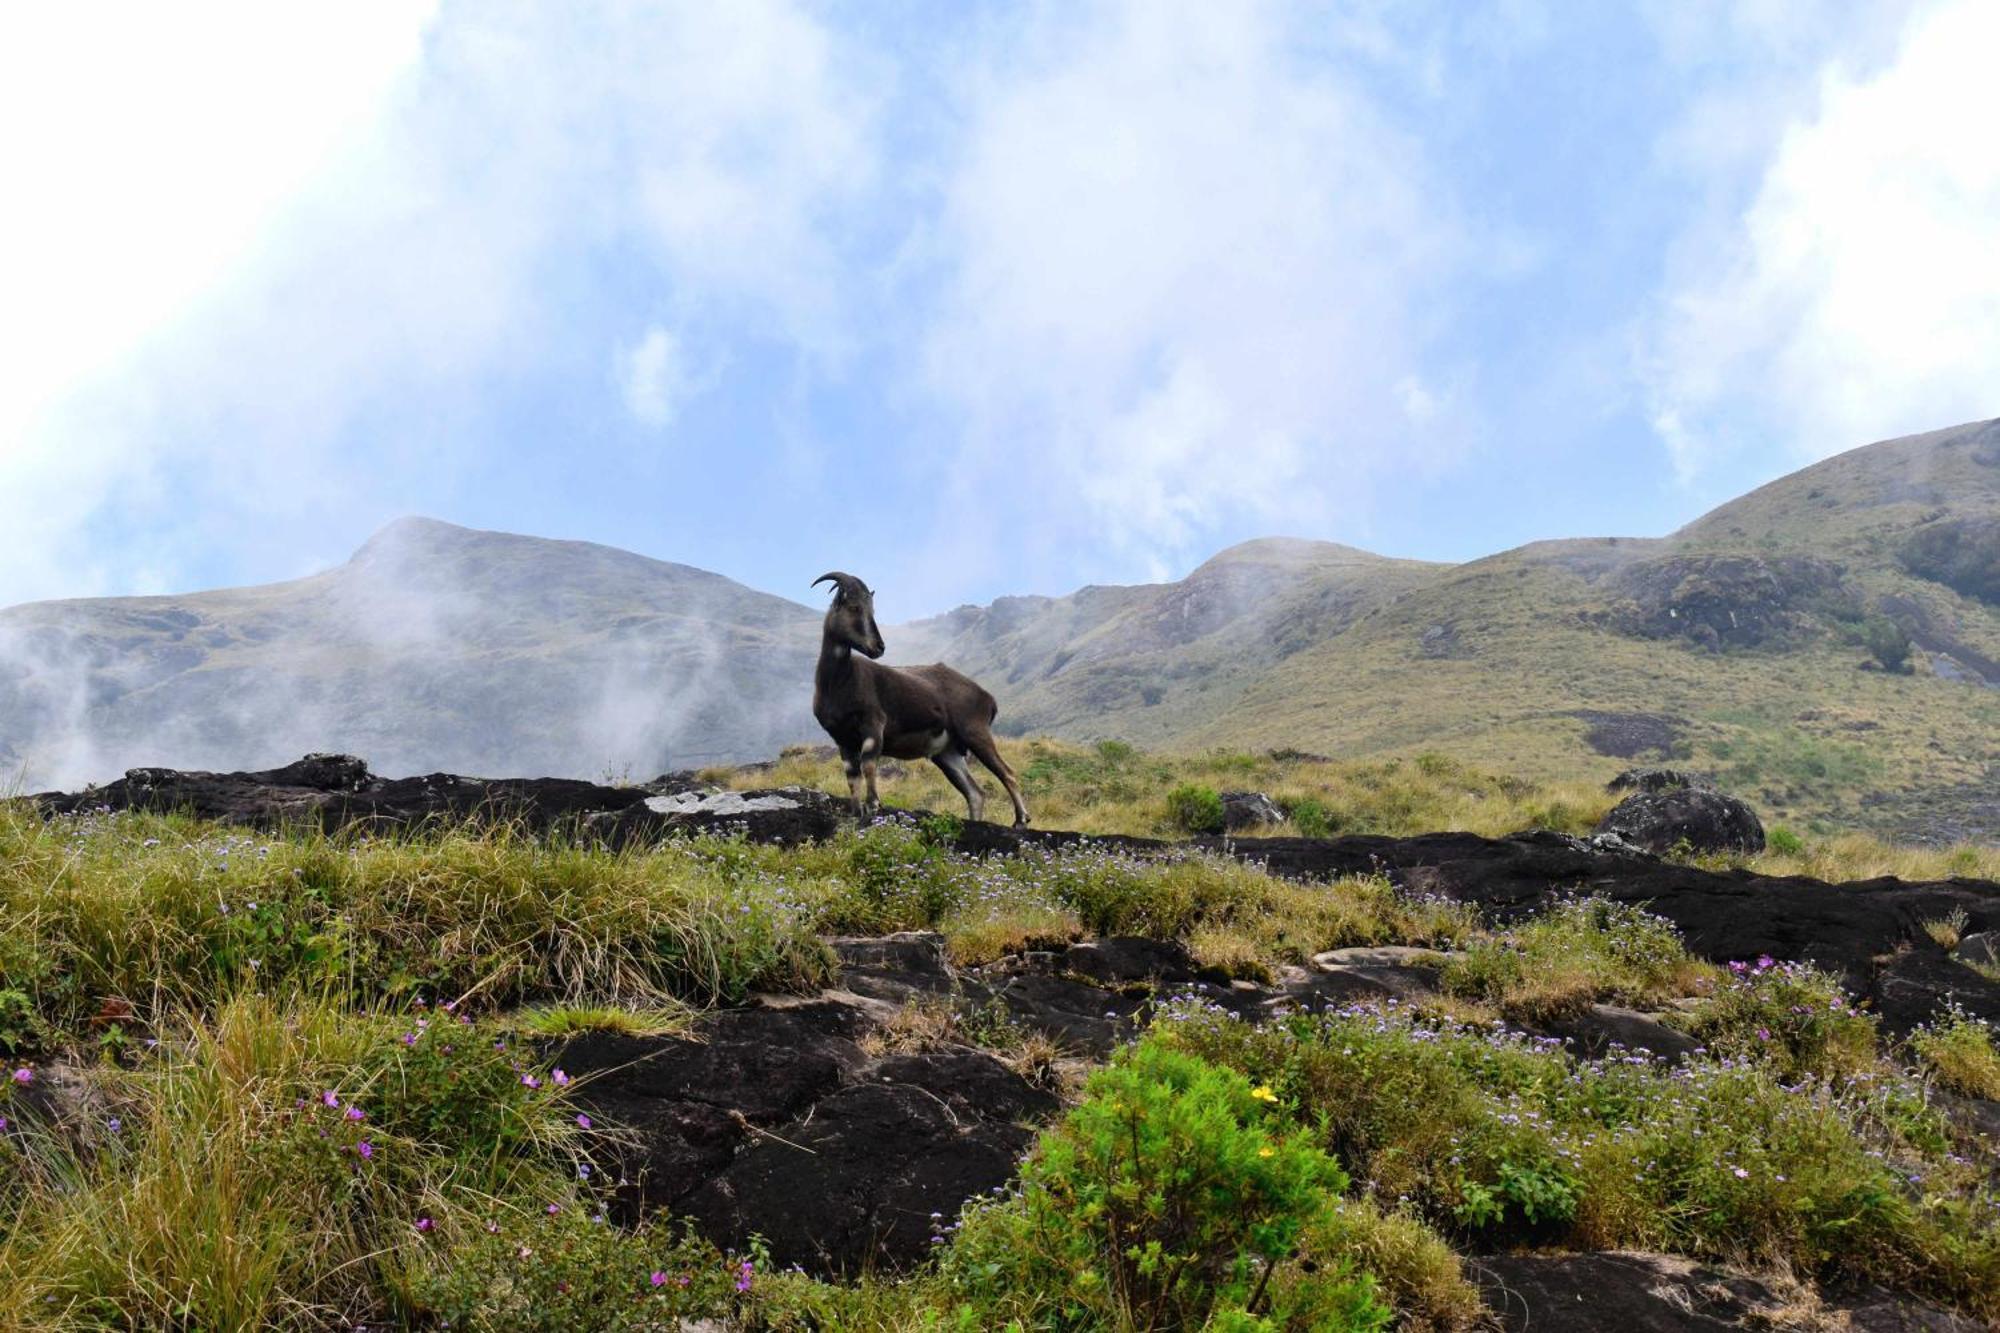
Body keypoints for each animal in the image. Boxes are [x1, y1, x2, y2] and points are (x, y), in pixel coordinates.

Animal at [812, 568, 1032, 824]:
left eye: (871, 610)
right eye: (855, 608)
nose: (879, 647)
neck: (839, 683)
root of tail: (988, 699)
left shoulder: (873, 724)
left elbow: (868, 765)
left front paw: (873, 804)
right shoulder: (842, 739)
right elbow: (852, 777)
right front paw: (856, 813)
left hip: (975, 732)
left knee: (1007, 773)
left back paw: (1021, 820)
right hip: (947, 753)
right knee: (975, 793)